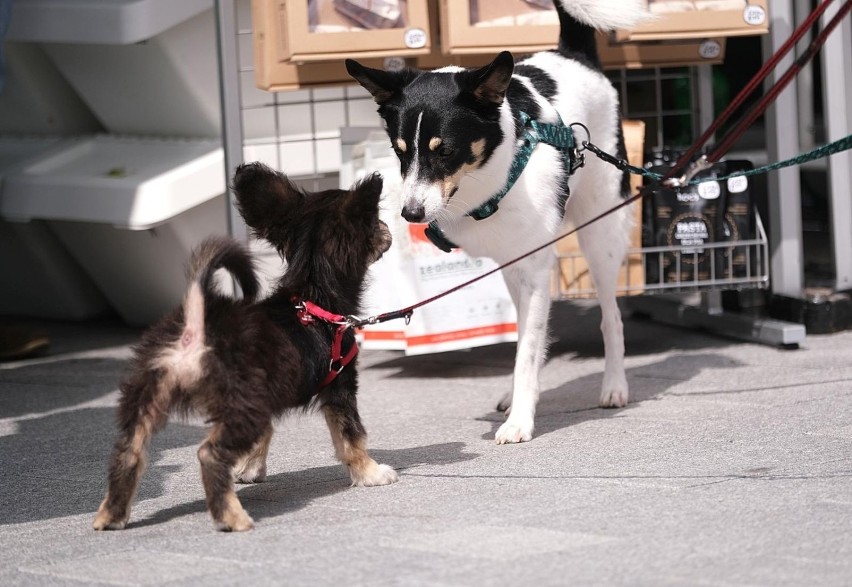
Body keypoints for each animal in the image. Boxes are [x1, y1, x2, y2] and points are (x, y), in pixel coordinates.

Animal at [93, 162, 400, 532]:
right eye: (375, 221)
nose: (388, 229)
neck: (313, 297)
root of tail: (197, 324)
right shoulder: (339, 389)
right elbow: (352, 437)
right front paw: (370, 473)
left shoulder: (267, 397)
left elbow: (265, 434)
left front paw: (249, 469)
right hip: (240, 404)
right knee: (208, 454)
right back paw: (231, 517)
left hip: (148, 393)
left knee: (129, 451)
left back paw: (111, 515)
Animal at [346, 0, 652, 444]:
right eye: (400, 152)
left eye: (445, 151)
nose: (411, 215)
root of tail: (570, 54)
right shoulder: (516, 265)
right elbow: (526, 342)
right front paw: (521, 400)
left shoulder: (538, 270)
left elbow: (528, 350)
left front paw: (521, 421)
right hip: (514, 264)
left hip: (601, 234)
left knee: (610, 317)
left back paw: (614, 385)